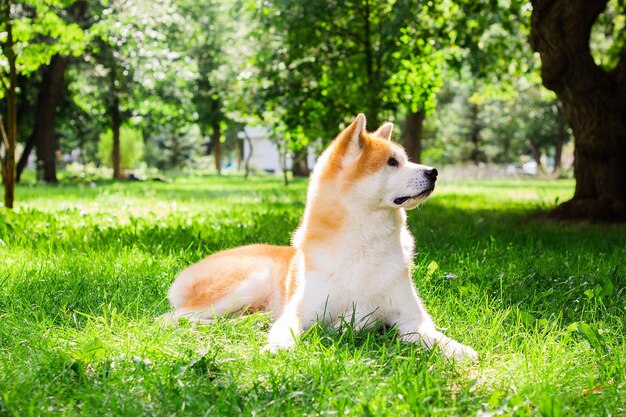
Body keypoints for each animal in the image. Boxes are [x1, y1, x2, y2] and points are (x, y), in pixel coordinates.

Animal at [163, 114, 476, 360]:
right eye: (391, 162)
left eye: (405, 160)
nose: (433, 172)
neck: (364, 244)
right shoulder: (302, 311)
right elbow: (289, 328)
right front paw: (279, 346)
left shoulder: (411, 319)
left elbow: (431, 335)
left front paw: (458, 350)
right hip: (245, 284)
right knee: (171, 319)